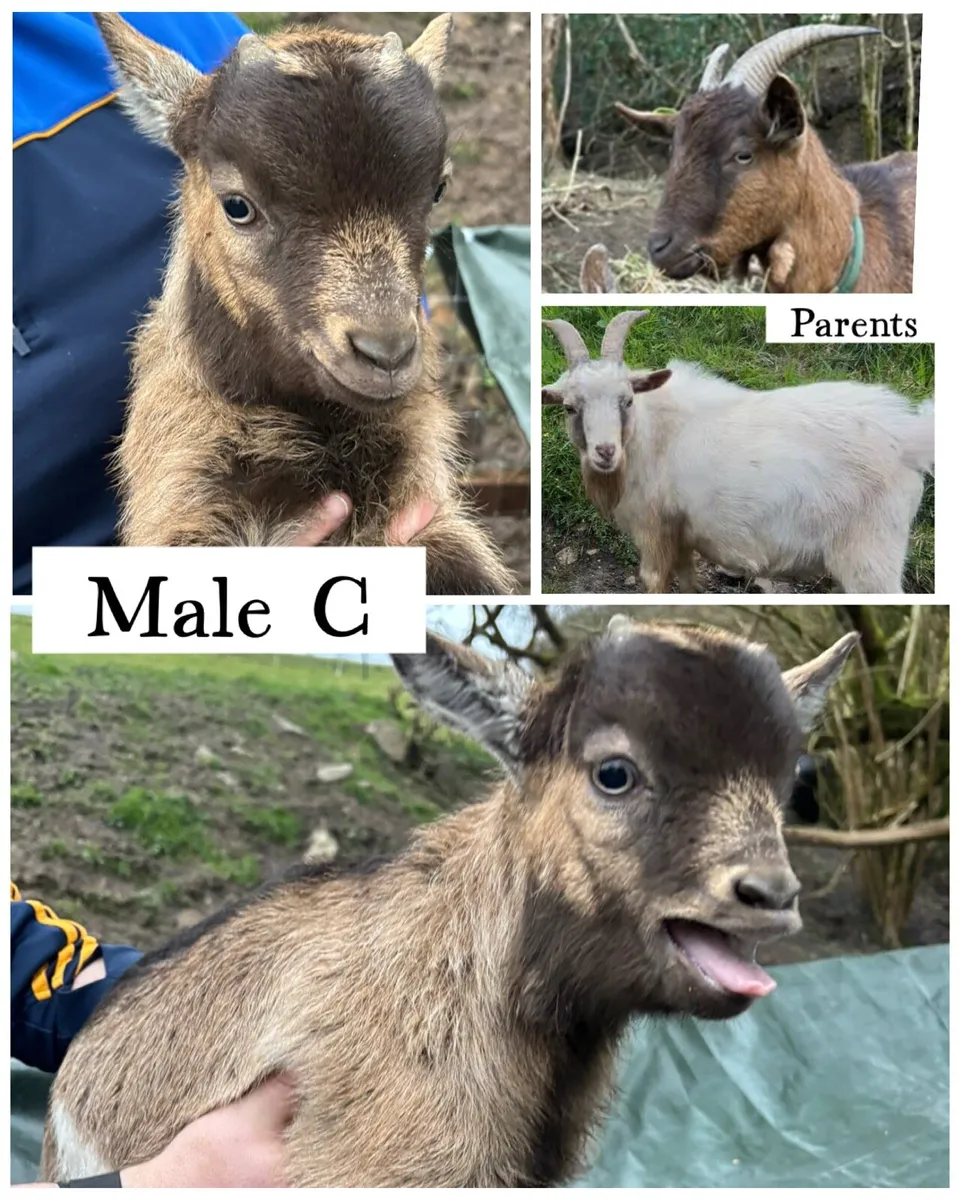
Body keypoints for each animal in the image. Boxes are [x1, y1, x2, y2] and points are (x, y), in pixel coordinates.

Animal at [543, 311, 934, 594]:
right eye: (570, 408)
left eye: (626, 400)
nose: (605, 452)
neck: (650, 434)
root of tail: (910, 435)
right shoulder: (682, 532)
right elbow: (688, 581)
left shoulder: (654, 529)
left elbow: (656, 581)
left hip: (871, 556)